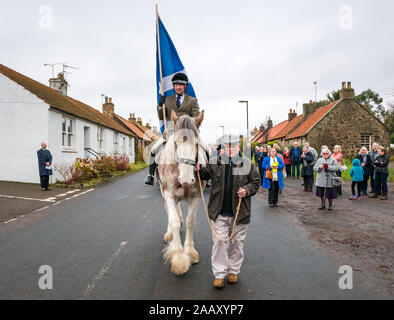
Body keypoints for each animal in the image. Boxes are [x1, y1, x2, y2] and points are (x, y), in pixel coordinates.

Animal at [155, 110, 208, 276]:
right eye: (176, 143)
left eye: (196, 143)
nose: (185, 179)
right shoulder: (169, 195)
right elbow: (174, 222)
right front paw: (179, 257)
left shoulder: (196, 197)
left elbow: (190, 221)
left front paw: (190, 252)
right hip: (164, 195)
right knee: (170, 216)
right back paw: (170, 234)